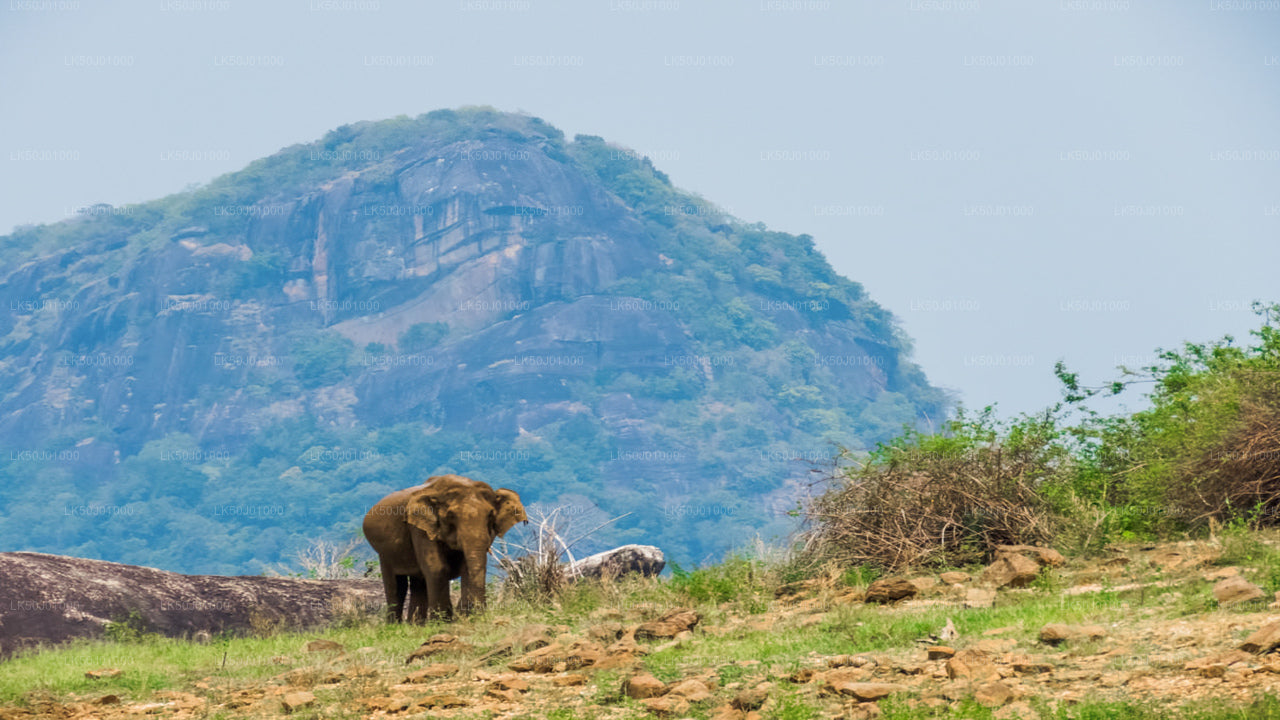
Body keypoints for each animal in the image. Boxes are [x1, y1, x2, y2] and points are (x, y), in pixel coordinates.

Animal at [360, 474, 524, 620]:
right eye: (451, 515)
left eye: (490, 515)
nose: (479, 614)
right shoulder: (420, 528)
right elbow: (437, 568)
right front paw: (441, 621)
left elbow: (466, 568)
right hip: (384, 553)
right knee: (396, 586)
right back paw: (396, 624)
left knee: (418, 583)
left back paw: (415, 625)